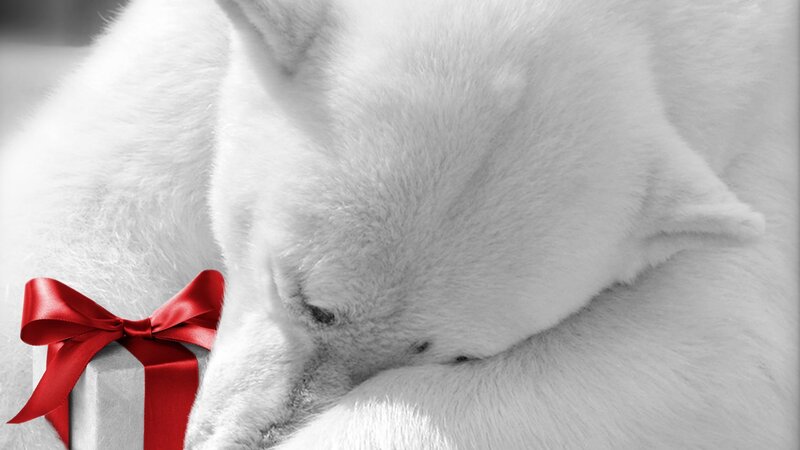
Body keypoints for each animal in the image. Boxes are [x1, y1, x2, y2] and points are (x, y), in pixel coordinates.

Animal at [1, 0, 797, 449]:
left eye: (456, 356)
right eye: (307, 301)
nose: (240, 441)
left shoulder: (756, 161)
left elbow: (703, 355)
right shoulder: (184, 47)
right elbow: (84, 207)